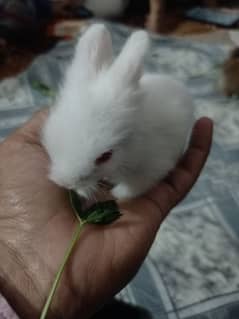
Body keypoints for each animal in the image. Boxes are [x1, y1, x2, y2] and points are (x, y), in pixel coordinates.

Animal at [41, 25, 194, 201]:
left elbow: (136, 186)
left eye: (106, 156)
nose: (65, 183)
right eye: (55, 134)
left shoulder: (154, 167)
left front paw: (118, 194)